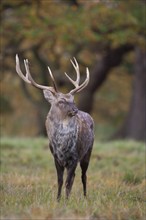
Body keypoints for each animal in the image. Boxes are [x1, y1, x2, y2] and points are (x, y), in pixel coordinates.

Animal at [15, 54, 94, 200]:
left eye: (73, 100)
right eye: (61, 101)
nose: (75, 109)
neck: (62, 146)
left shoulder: (74, 157)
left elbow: (68, 181)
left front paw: (66, 201)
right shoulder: (56, 157)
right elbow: (60, 180)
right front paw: (58, 200)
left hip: (88, 151)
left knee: (84, 176)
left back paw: (85, 197)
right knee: (75, 177)